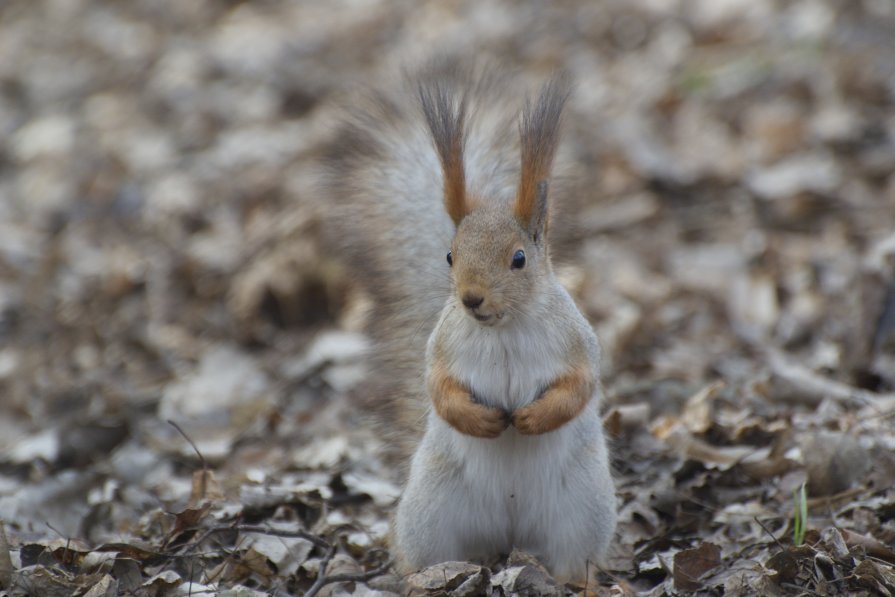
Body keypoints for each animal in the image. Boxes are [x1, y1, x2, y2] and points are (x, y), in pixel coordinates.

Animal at [326, 64, 620, 584]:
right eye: (450, 255)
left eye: (519, 259)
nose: (470, 298)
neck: (501, 329)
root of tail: (509, 534)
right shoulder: (442, 348)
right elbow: (439, 389)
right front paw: (482, 420)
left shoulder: (577, 343)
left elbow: (579, 387)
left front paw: (530, 418)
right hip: (432, 514)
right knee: (428, 558)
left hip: (582, 514)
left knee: (574, 564)